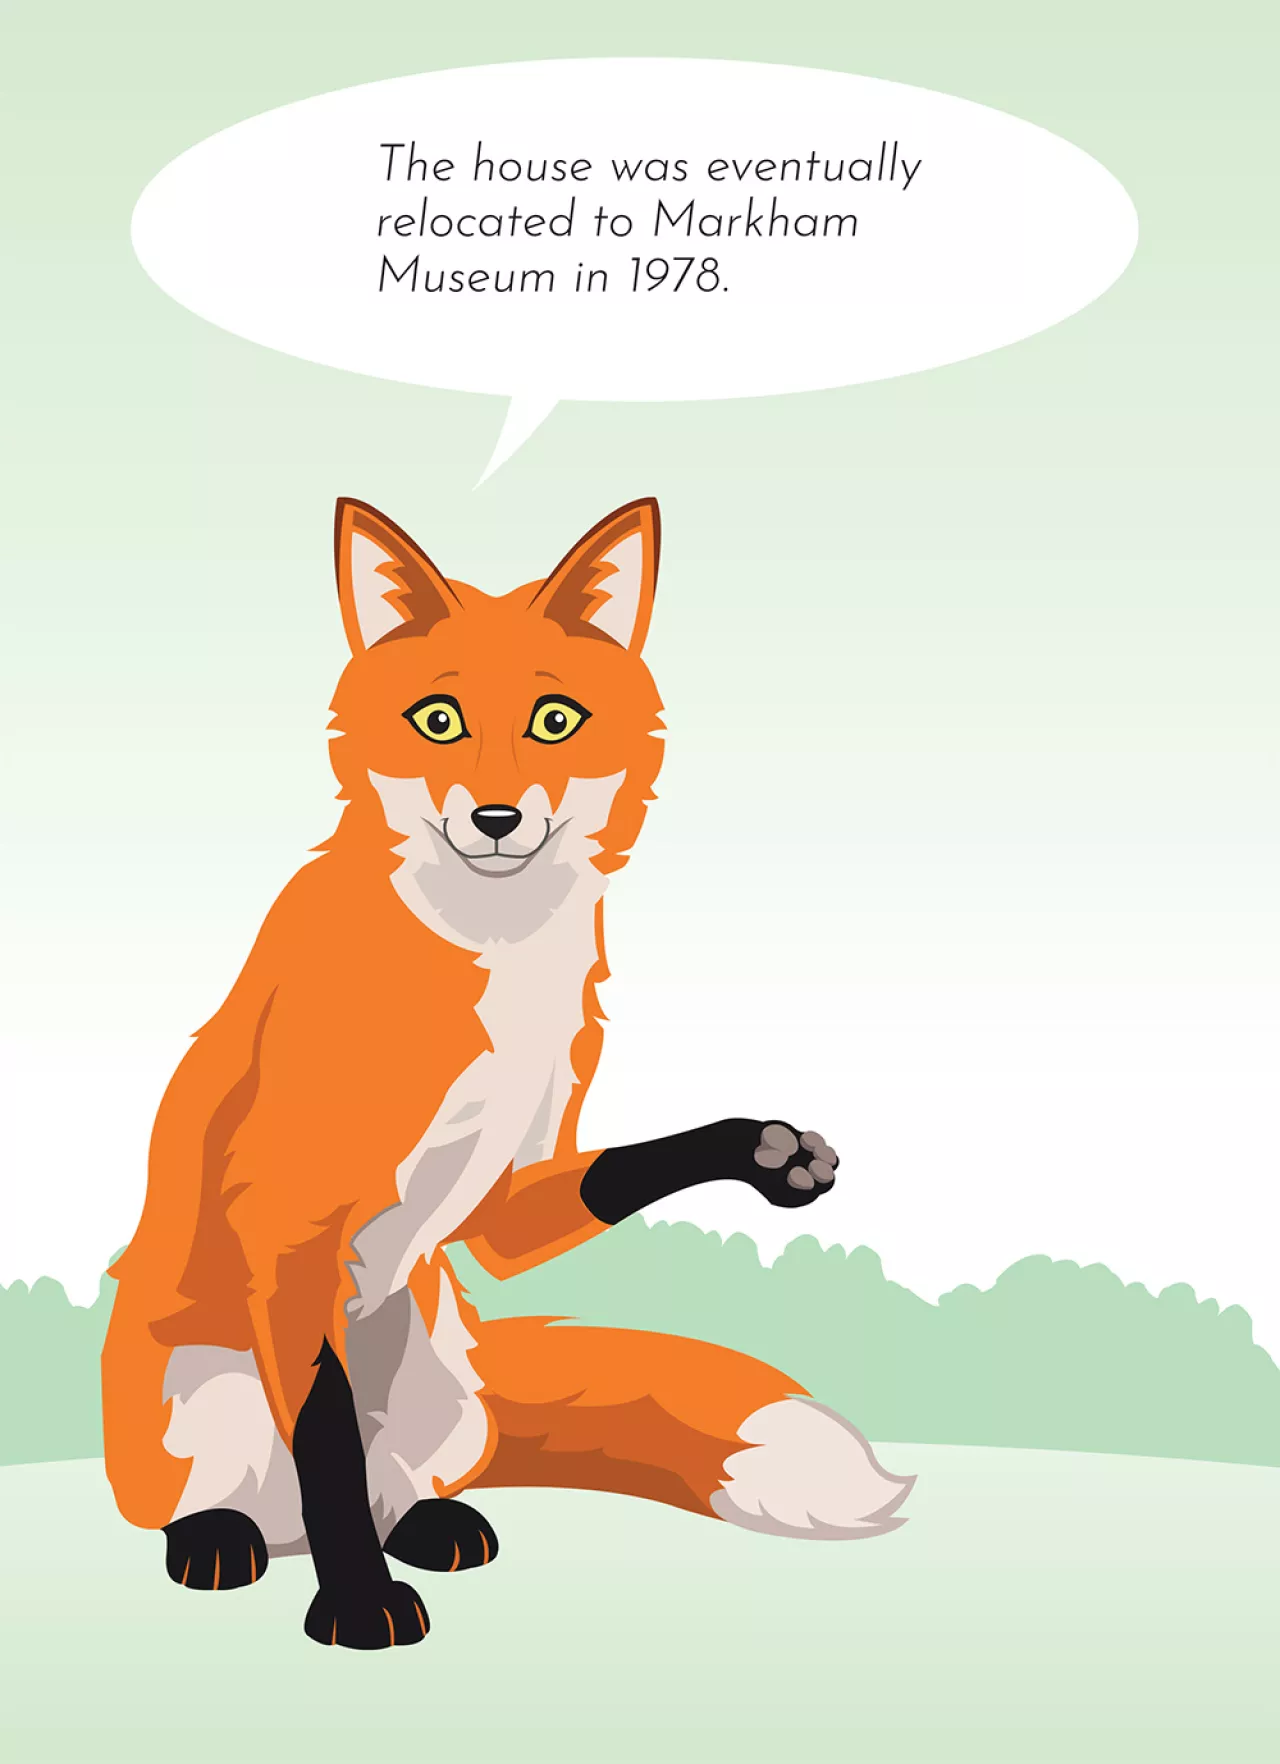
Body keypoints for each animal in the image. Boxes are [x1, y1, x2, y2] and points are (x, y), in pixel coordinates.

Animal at [102, 496, 913, 1649]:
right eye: (437, 721)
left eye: (555, 721)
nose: (495, 819)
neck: (490, 958)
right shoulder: (289, 1221)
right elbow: (325, 1446)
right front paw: (357, 1608)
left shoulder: (510, 1182)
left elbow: (620, 1168)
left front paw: (766, 1154)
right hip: (197, 1397)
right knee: (237, 1497)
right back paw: (221, 1541)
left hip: (445, 1393)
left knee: (403, 1486)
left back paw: (434, 1526)